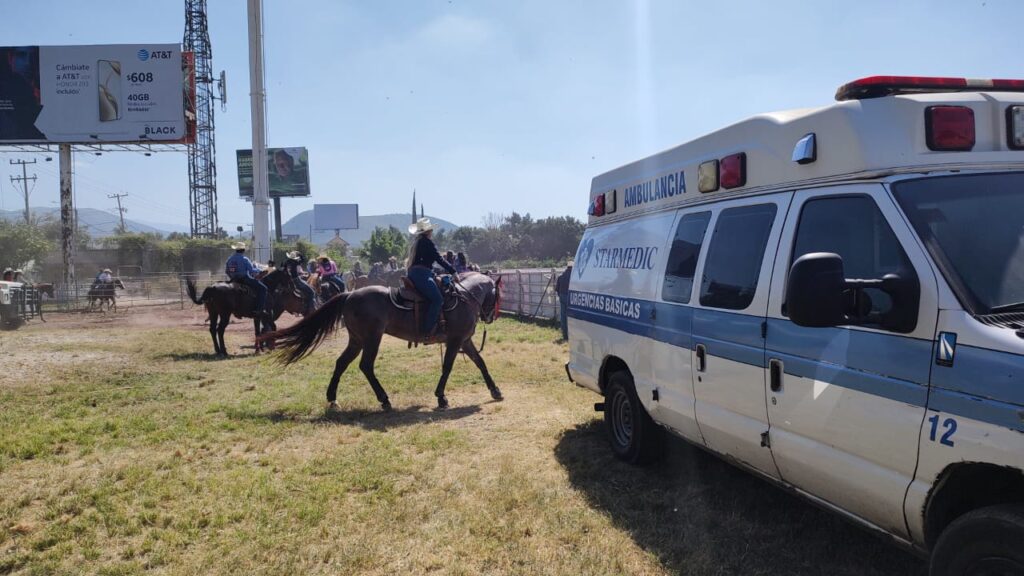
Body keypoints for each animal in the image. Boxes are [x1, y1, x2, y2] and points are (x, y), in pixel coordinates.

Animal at [266, 272, 501, 409]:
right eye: (498, 294)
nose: (491, 316)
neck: (465, 298)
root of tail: (349, 295)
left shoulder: (464, 341)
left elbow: (480, 362)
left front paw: (495, 390)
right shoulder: (454, 340)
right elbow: (448, 367)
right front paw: (441, 397)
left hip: (357, 340)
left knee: (342, 363)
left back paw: (332, 398)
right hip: (372, 339)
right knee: (366, 366)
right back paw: (384, 399)